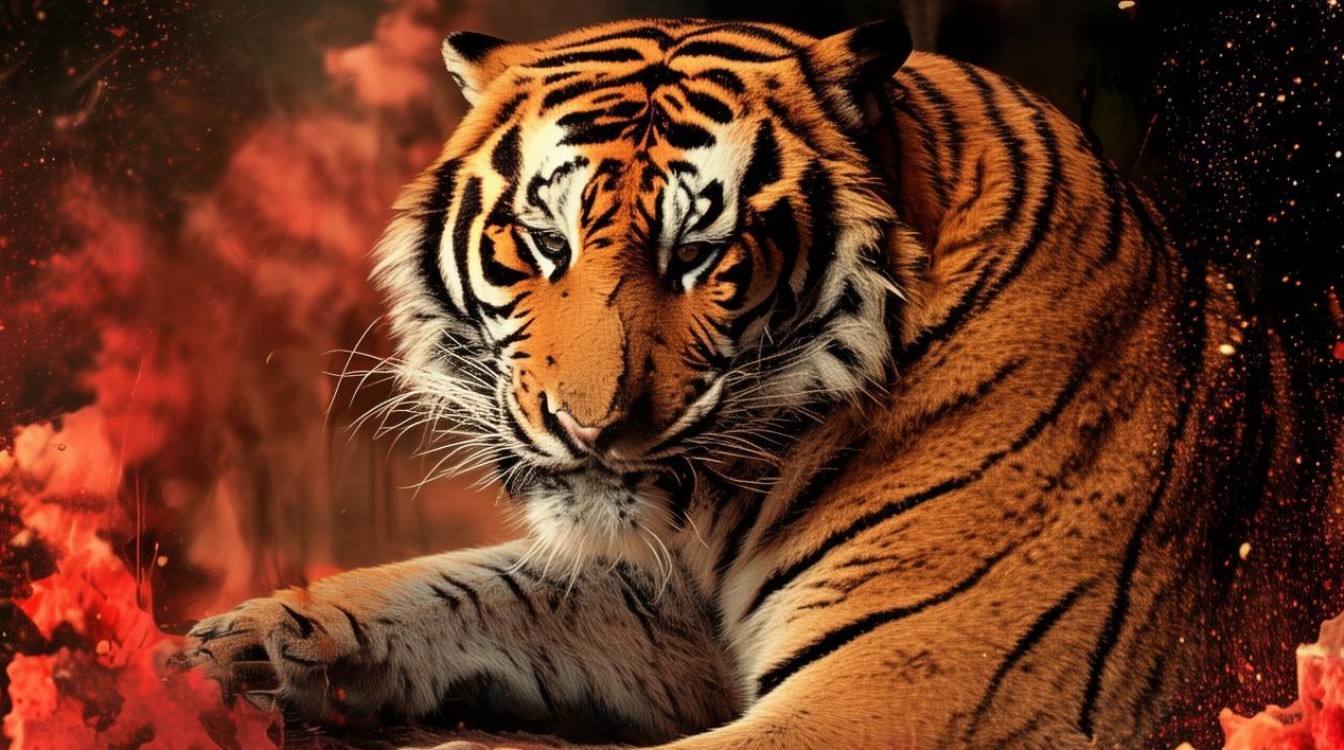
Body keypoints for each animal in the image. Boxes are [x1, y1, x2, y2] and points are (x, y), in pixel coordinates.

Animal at [179, 17, 1298, 750]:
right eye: (543, 242)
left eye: (697, 255)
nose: (589, 428)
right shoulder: (666, 604)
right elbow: (473, 584)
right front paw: (248, 642)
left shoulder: (915, 685)